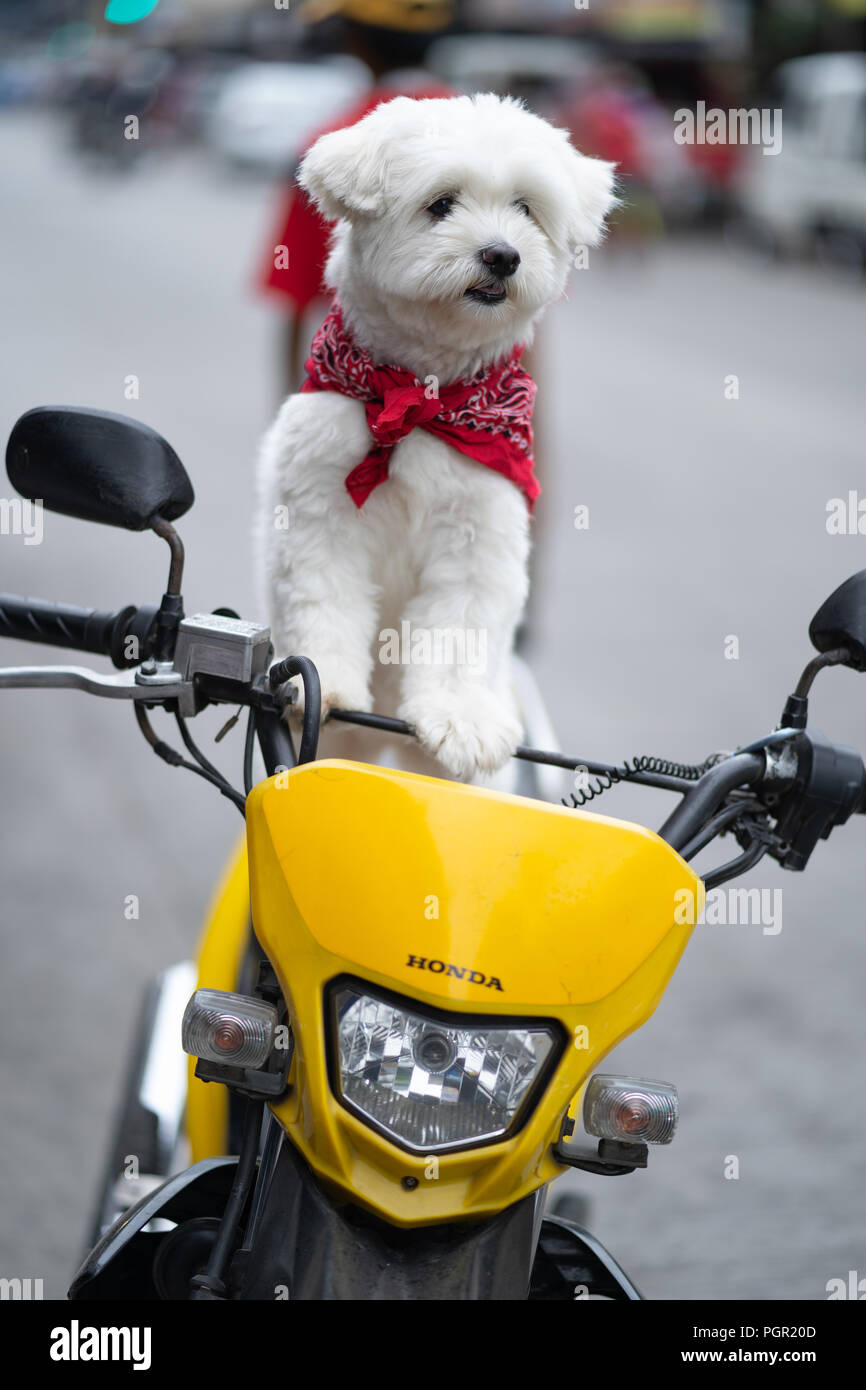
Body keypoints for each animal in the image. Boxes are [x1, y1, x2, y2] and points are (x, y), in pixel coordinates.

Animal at [257, 92, 617, 778]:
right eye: (441, 203)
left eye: (525, 208)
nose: (503, 254)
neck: (422, 398)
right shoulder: (318, 512)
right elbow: (324, 597)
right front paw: (325, 683)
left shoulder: (479, 538)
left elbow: (460, 631)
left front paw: (463, 720)